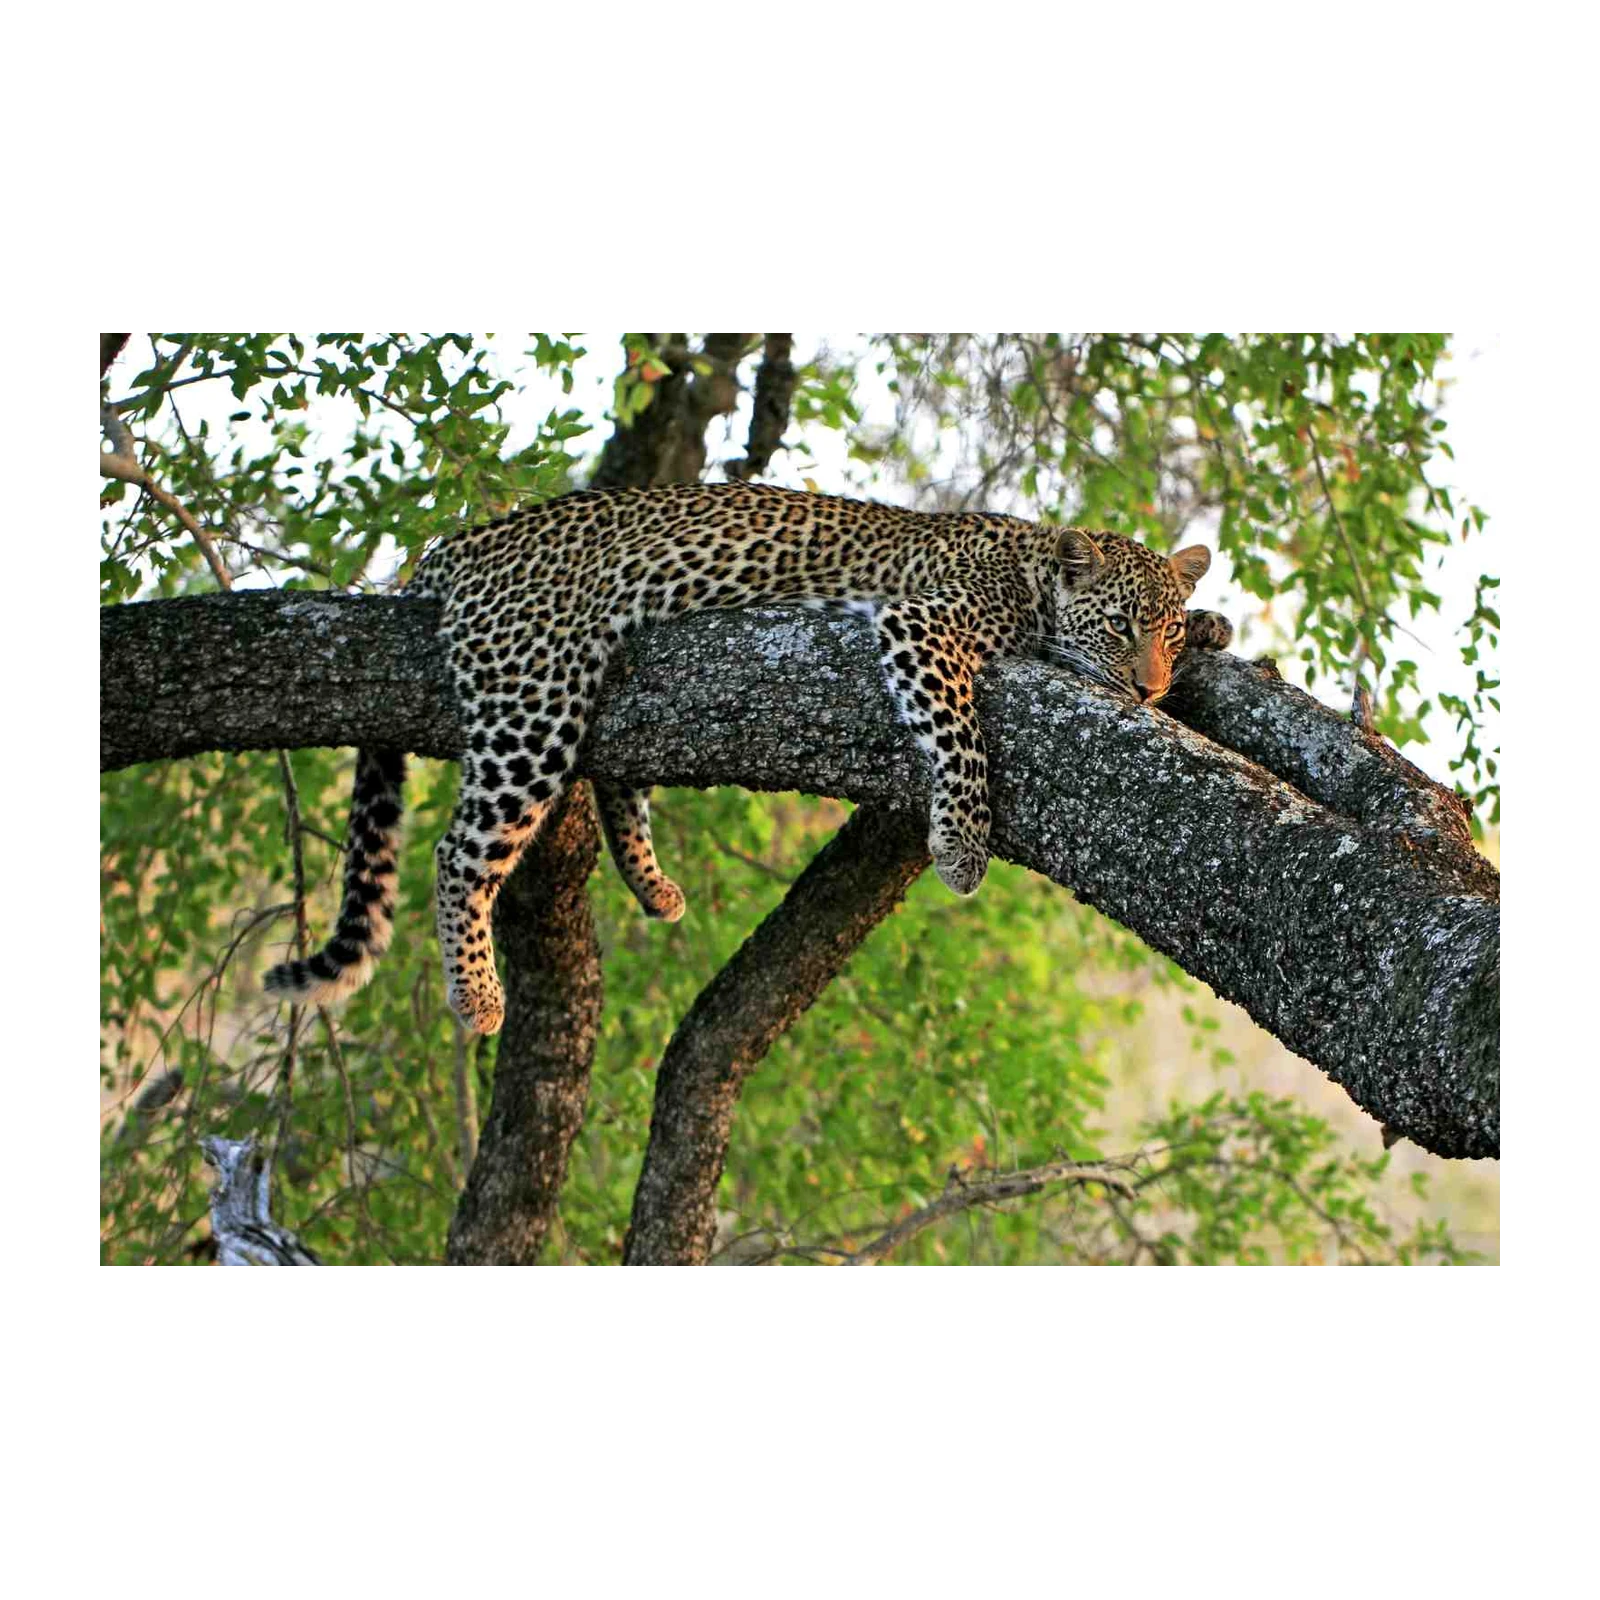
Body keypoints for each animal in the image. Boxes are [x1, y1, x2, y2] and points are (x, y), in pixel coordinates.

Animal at [263, 481, 1232, 1036]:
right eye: (1119, 627)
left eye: (1163, 633)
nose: (1148, 690)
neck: (1031, 566)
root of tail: (459, 542)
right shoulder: (921, 627)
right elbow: (961, 739)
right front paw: (962, 846)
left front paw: (1215, 623)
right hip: (535, 691)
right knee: (459, 850)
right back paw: (477, 995)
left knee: (613, 777)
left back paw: (653, 885)